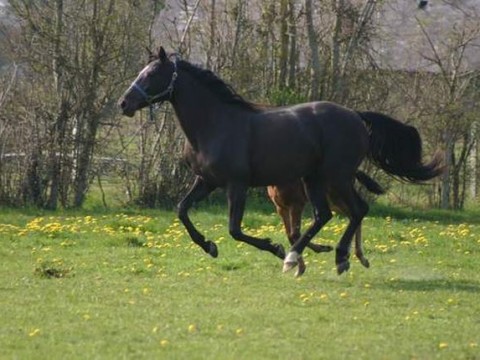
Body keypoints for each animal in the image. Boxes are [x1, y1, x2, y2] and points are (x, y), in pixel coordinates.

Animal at [119, 48, 442, 276]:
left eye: (151, 74)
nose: (124, 103)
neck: (214, 124)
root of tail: (356, 116)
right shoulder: (207, 181)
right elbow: (182, 210)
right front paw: (209, 246)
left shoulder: (237, 184)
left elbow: (235, 229)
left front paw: (273, 248)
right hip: (316, 179)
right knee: (327, 215)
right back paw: (326, 257)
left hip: (335, 176)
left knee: (355, 211)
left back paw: (310, 257)